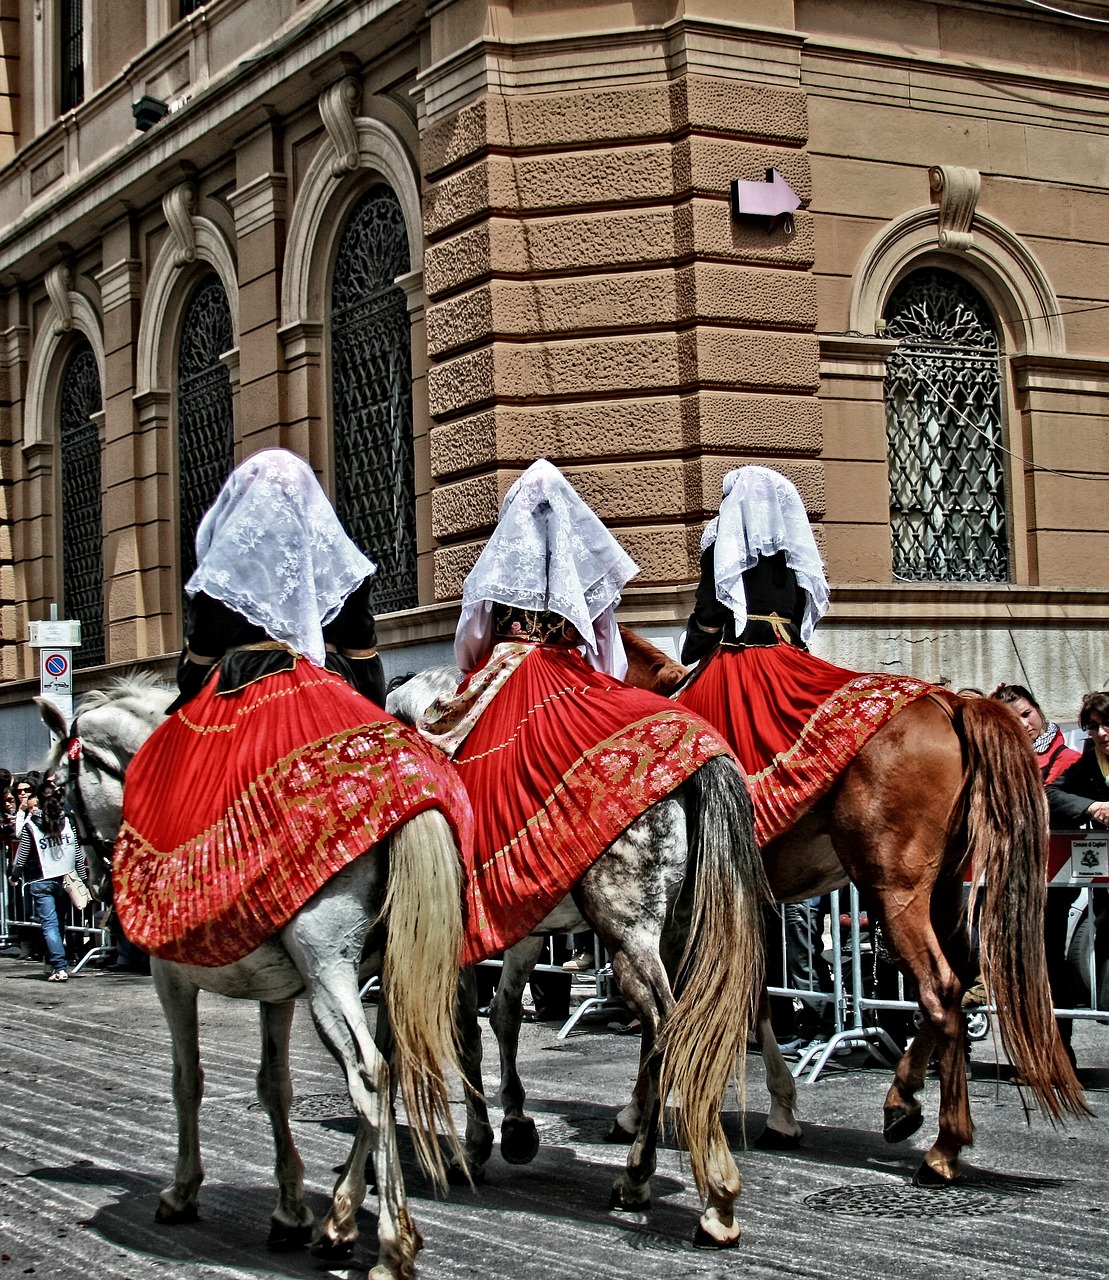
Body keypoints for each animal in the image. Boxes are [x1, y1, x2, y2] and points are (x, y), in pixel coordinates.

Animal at [40, 675, 463, 1274]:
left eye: (56, 795)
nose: (95, 886)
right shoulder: (277, 992)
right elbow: (274, 1086)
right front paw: (290, 1210)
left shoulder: (170, 977)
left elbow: (187, 1080)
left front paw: (181, 1191)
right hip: (390, 977)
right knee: (392, 1073)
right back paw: (340, 1220)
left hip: (330, 974)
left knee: (371, 1075)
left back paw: (391, 1244)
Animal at [384, 665, 773, 1244]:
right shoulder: (522, 928)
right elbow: (503, 1016)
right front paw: (516, 1128)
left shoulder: (457, 939)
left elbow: (466, 1032)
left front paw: (475, 1145)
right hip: (679, 931)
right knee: (673, 1030)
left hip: (628, 931)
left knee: (666, 1026)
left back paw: (685, 1191)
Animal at [617, 624, 1085, 1182]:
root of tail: (952, 702)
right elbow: (755, 997)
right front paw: (781, 1113)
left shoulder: (679, 912)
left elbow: (674, 1005)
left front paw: (640, 1107)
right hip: (946, 887)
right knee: (960, 979)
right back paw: (903, 1103)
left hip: (893, 889)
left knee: (938, 986)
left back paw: (942, 1149)